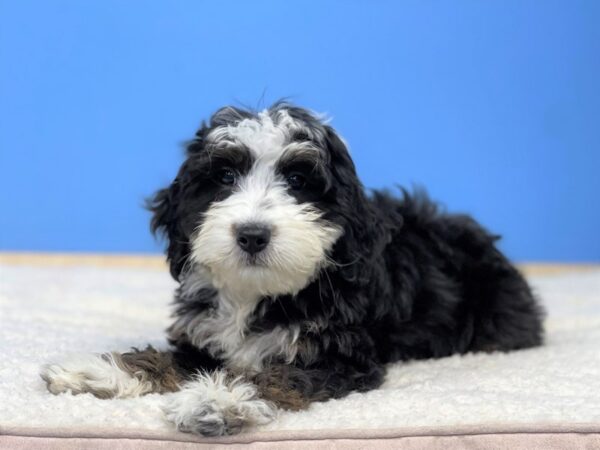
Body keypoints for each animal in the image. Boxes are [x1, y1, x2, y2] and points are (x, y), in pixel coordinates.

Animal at [42, 103, 544, 436]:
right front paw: (99, 371)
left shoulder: (341, 357)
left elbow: (276, 376)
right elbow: (172, 357)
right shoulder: (204, 339)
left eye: (299, 181)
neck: (257, 293)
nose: (251, 234)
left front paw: (218, 400)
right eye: (225, 178)